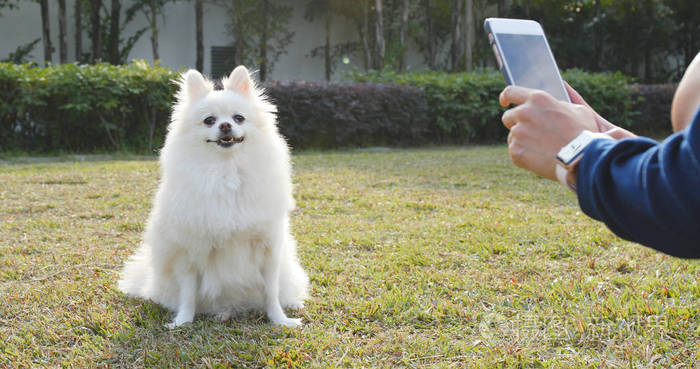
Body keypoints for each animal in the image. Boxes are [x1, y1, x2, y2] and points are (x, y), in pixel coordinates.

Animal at [118, 64, 308, 326]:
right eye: (209, 120)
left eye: (238, 118)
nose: (225, 126)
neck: (225, 171)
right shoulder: (189, 251)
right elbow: (188, 292)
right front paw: (183, 321)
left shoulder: (268, 248)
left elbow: (271, 291)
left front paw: (280, 320)